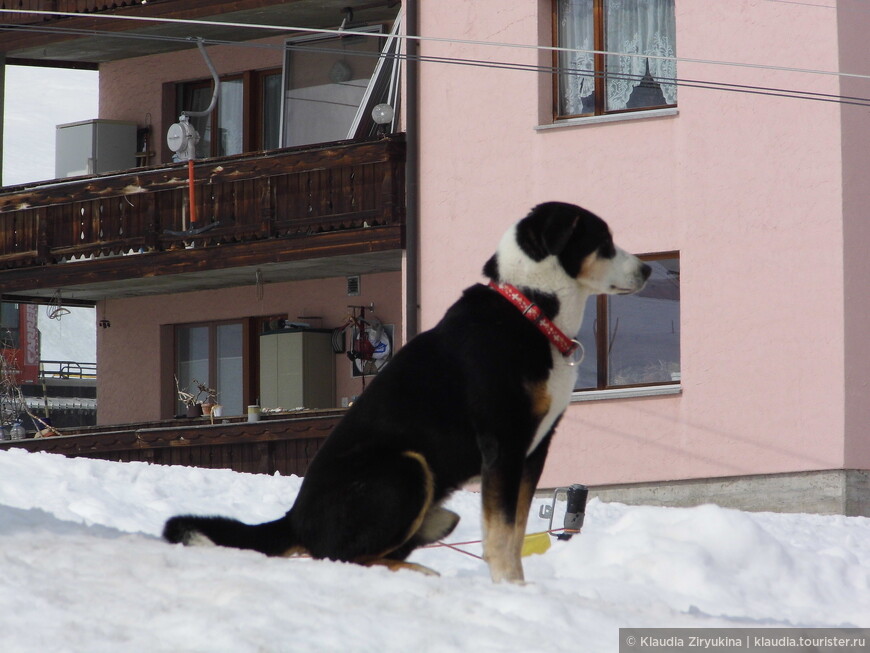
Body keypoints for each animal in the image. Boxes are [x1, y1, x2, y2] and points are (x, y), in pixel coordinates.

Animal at [165, 202, 656, 580]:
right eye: (604, 240)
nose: (650, 268)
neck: (531, 309)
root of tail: (293, 520)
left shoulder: (534, 449)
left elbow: (515, 531)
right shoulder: (503, 442)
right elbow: (500, 534)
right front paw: (509, 588)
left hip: (440, 509)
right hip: (406, 469)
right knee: (342, 557)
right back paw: (418, 572)